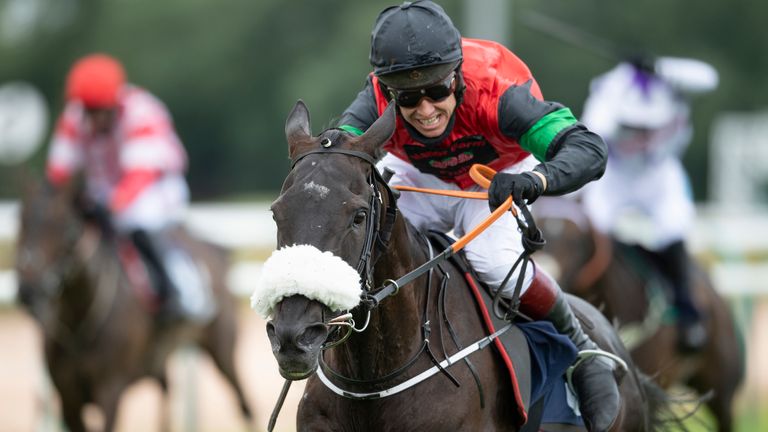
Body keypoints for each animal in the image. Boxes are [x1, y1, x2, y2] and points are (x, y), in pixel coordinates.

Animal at [15, 178, 255, 432]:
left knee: (244, 404)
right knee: (167, 392)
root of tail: (217, 250)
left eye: (65, 227)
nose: (28, 289)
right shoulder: (68, 398)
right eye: (21, 221)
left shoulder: (110, 391)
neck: (79, 324)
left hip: (222, 348)